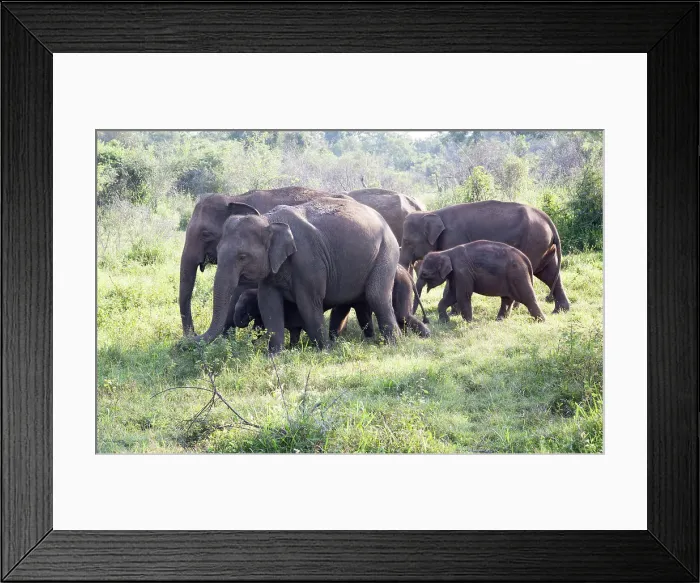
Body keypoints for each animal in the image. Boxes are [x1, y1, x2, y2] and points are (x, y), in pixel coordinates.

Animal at [194, 197, 400, 352]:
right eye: (217, 251)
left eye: (242, 257)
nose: (191, 338)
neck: (269, 220)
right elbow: (268, 303)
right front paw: (274, 355)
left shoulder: (308, 261)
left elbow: (308, 303)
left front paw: (324, 351)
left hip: (386, 252)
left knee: (376, 295)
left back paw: (393, 344)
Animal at [399, 200, 570, 314]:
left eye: (407, 242)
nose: (422, 318)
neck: (433, 212)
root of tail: (548, 220)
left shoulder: (453, 238)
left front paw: (455, 313)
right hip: (544, 246)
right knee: (549, 273)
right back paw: (560, 310)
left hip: (533, 242)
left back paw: (516, 308)